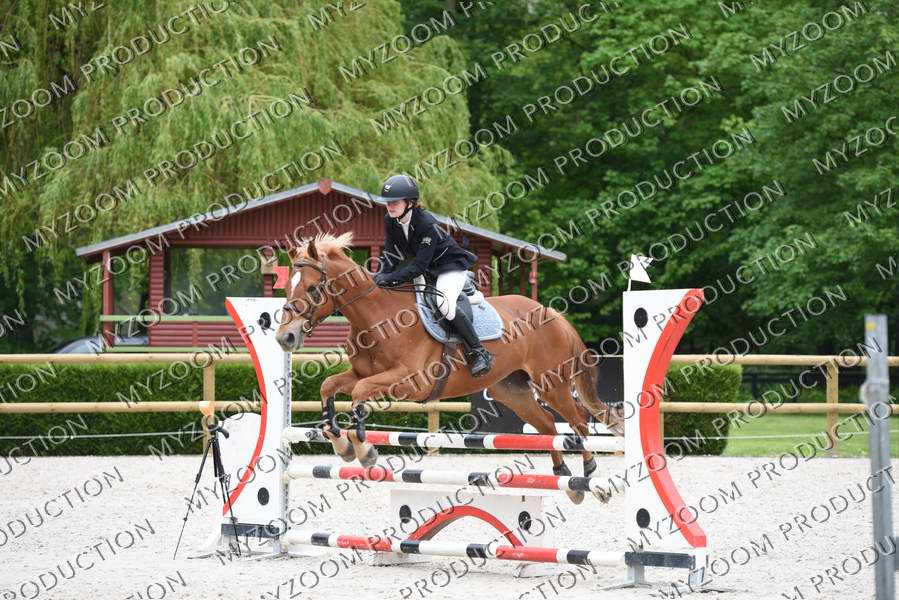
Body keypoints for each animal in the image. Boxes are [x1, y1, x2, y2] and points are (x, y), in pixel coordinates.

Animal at [274, 232, 624, 503]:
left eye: (312, 289)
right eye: (288, 289)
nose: (285, 337)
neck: (377, 318)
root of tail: (551, 312)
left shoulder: (407, 381)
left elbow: (359, 393)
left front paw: (363, 451)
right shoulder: (362, 374)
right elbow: (329, 386)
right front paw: (342, 443)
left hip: (552, 383)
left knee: (578, 423)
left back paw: (591, 477)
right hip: (513, 390)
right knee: (549, 426)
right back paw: (566, 478)